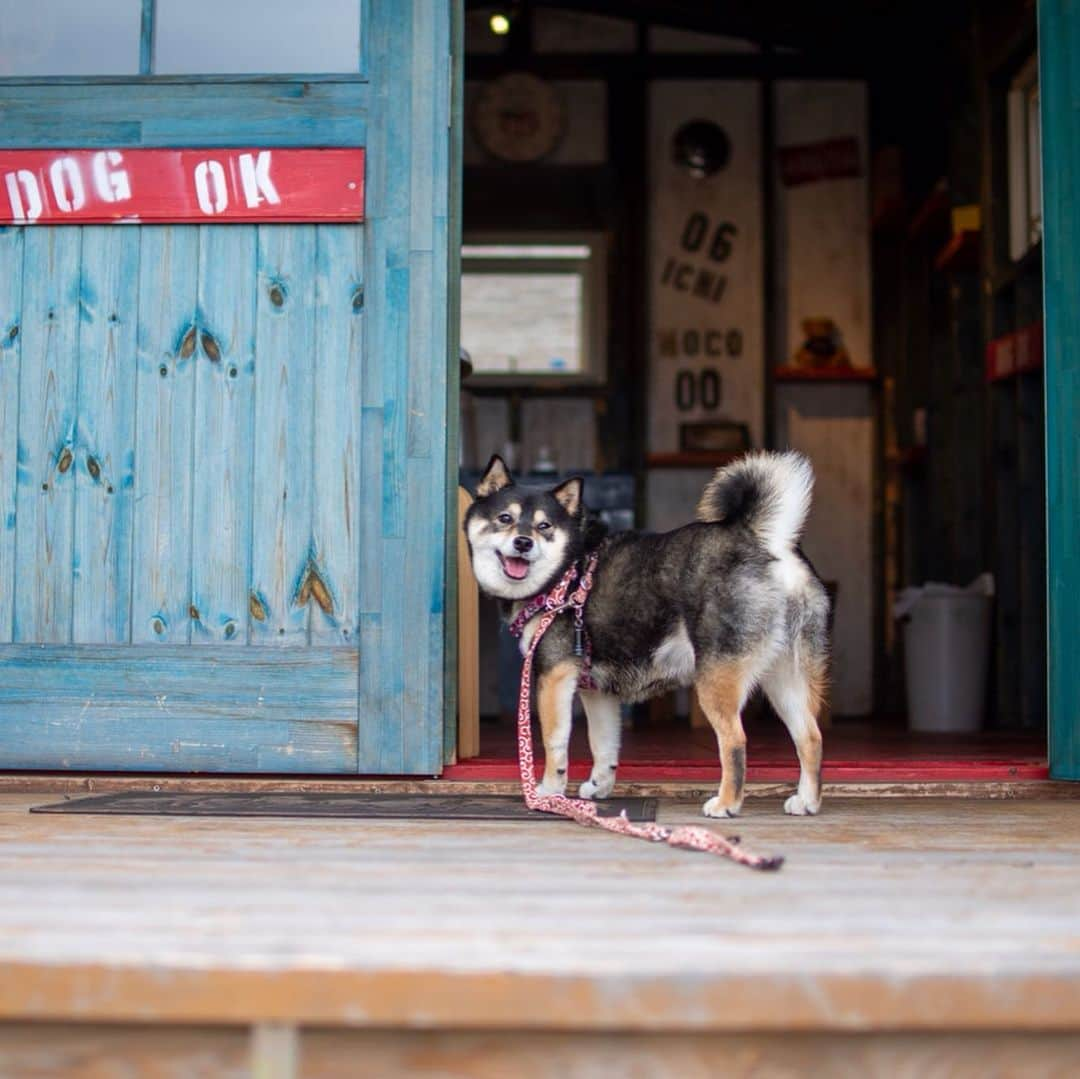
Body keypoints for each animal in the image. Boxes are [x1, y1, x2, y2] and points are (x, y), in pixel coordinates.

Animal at [462, 453, 825, 816]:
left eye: (544, 527)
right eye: (505, 518)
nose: (523, 542)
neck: (567, 570)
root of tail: (763, 540)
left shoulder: (554, 676)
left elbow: (554, 742)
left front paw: (549, 792)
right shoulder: (596, 691)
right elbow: (603, 744)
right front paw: (599, 785)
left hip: (716, 678)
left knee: (735, 740)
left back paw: (726, 803)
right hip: (784, 678)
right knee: (810, 736)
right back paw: (806, 801)